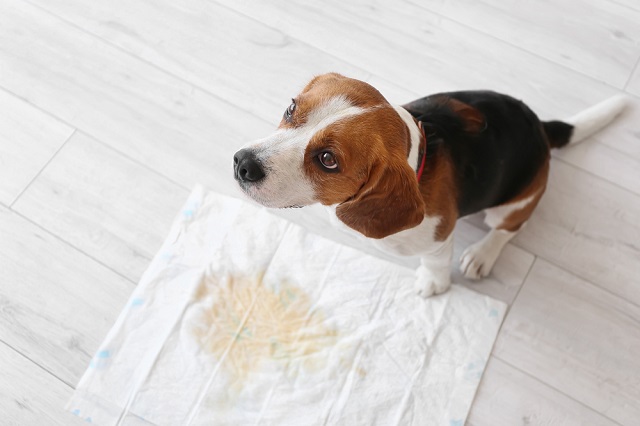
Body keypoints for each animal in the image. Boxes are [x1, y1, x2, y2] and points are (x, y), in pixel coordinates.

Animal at [231, 73, 624, 296]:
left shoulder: (439, 237)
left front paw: (433, 284)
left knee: (508, 229)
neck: (418, 158)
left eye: (328, 160)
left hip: (514, 203)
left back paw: (482, 254)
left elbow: (435, 263)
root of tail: (541, 127)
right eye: (291, 108)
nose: (242, 164)